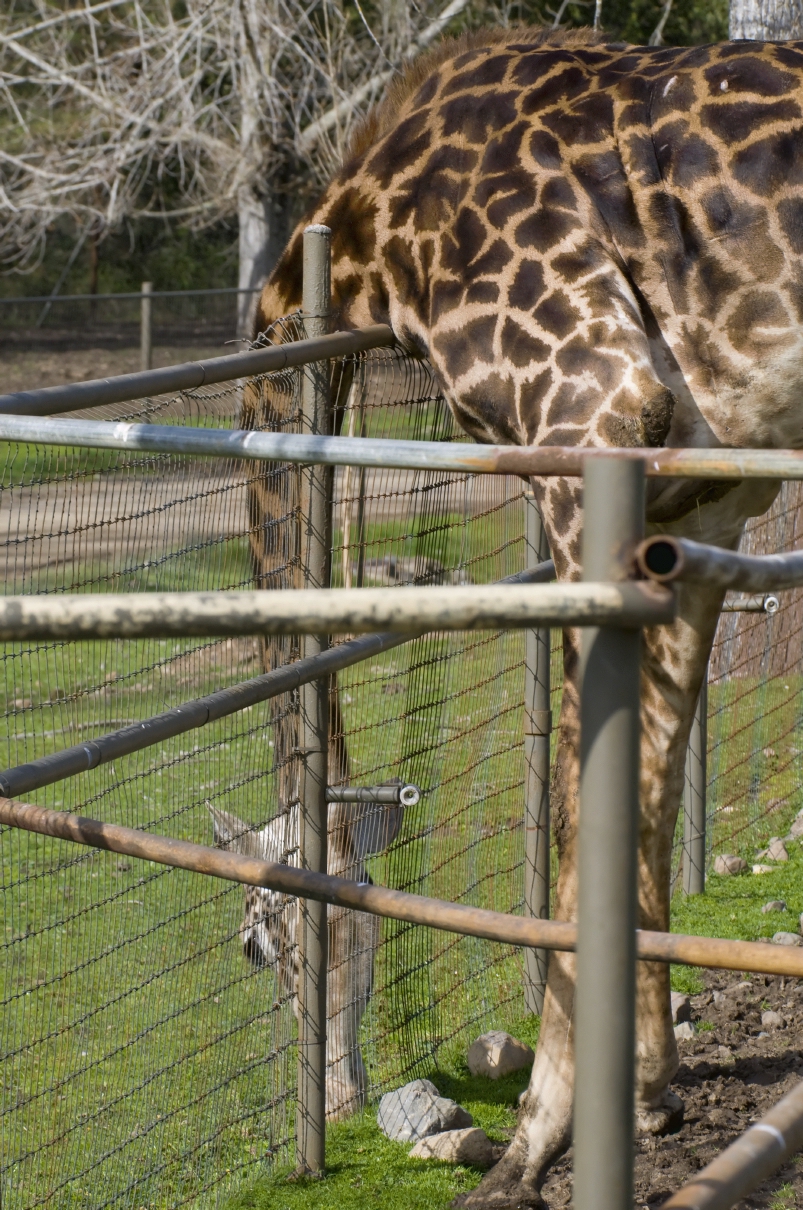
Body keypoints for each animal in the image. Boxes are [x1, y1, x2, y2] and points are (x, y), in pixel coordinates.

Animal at [249, 26, 798, 1210]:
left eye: (275, 944)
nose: (338, 1089)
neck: (369, 238)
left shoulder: (595, 424)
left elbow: (573, 818)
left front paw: (530, 1147)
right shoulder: (699, 505)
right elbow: (643, 798)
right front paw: (651, 1089)